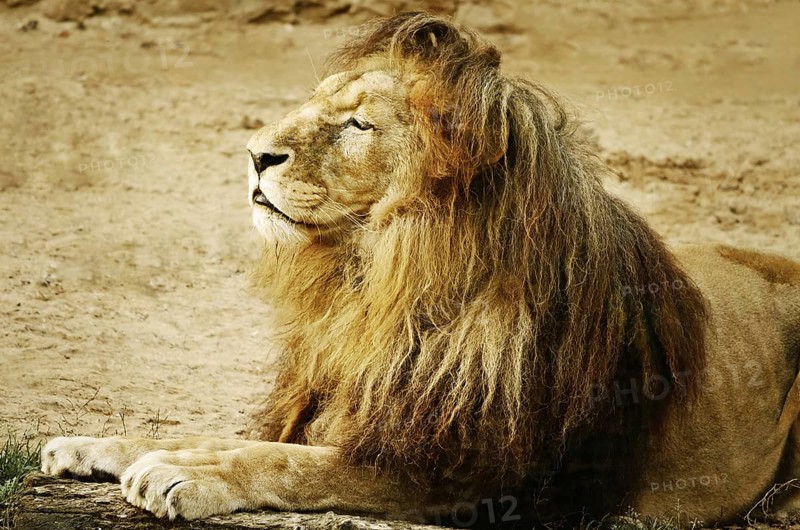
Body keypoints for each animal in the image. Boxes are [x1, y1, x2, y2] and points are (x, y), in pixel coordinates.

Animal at [41, 12, 800, 527]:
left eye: (358, 125)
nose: (255, 154)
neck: (373, 286)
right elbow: (220, 435)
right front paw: (95, 443)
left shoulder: (476, 478)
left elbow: (290, 464)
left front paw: (181, 474)